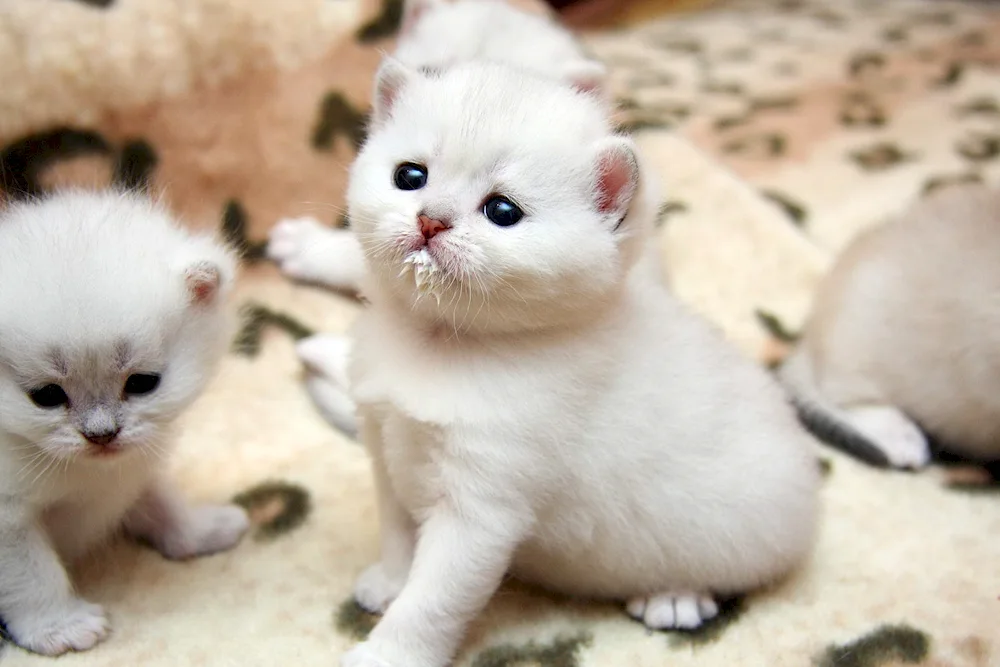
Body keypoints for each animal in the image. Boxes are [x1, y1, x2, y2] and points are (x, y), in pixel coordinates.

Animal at [0, 190, 249, 656]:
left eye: (142, 383)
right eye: (46, 396)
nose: (101, 435)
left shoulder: (132, 467)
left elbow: (161, 501)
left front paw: (200, 531)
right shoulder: (8, 520)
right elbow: (31, 574)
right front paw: (60, 627)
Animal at [336, 58, 820, 667]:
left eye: (502, 211)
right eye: (410, 176)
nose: (431, 220)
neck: (438, 342)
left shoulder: (484, 506)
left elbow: (434, 601)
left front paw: (387, 652)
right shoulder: (384, 445)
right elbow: (398, 533)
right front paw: (390, 581)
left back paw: (675, 597)